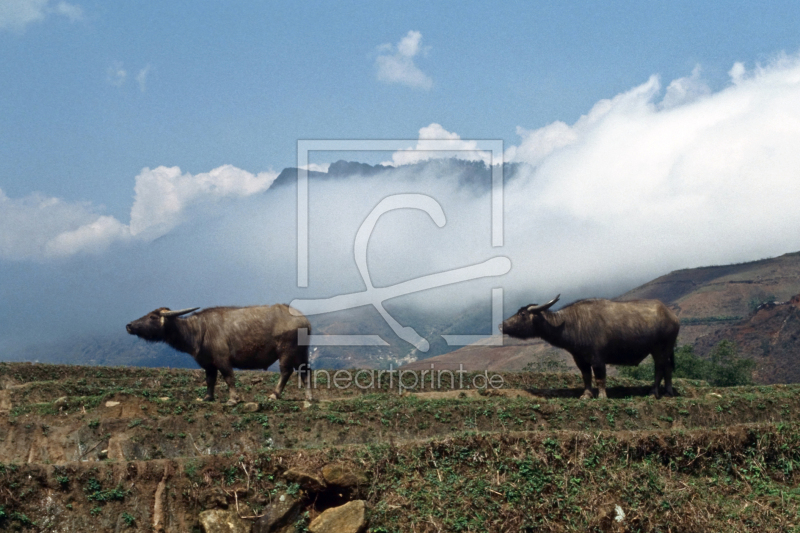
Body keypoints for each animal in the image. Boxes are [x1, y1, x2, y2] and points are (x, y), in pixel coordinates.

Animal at [126, 304, 312, 404]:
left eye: (152, 317)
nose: (129, 325)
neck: (199, 330)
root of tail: (305, 320)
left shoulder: (223, 360)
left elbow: (229, 378)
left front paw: (233, 399)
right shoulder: (208, 364)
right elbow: (210, 380)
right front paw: (208, 397)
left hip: (286, 352)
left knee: (286, 371)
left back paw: (274, 394)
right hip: (301, 354)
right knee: (305, 372)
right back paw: (309, 397)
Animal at [504, 296, 680, 400]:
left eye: (522, 314)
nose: (502, 325)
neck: (571, 324)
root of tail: (672, 316)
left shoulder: (598, 359)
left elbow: (600, 378)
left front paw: (602, 396)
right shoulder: (580, 360)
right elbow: (587, 377)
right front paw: (586, 395)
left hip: (660, 349)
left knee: (660, 368)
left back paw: (654, 393)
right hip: (665, 350)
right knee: (667, 368)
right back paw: (668, 392)